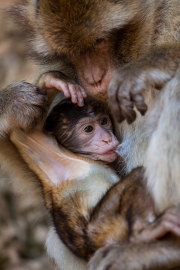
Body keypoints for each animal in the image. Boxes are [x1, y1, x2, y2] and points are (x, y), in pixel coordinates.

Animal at [1, 0, 180, 268]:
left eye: (101, 41)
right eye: (72, 54)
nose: (93, 79)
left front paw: (151, 64)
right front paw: (13, 101)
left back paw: (164, 249)